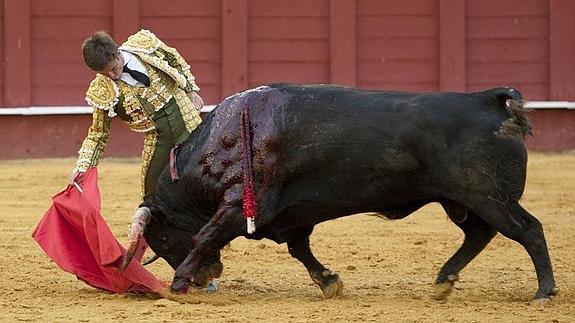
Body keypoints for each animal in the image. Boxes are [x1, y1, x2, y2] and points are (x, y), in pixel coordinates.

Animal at [121, 83, 560, 302]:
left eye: (161, 240)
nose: (205, 279)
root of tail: (488, 101)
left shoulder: (239, 206)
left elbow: (204, 235)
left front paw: (178, 284)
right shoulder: (290, 217)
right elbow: (300, 251)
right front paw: (330, 283)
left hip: (489, 197)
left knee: (529, 230)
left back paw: (543, 292)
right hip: (463, 201)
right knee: (480, 234)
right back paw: (443, 281)